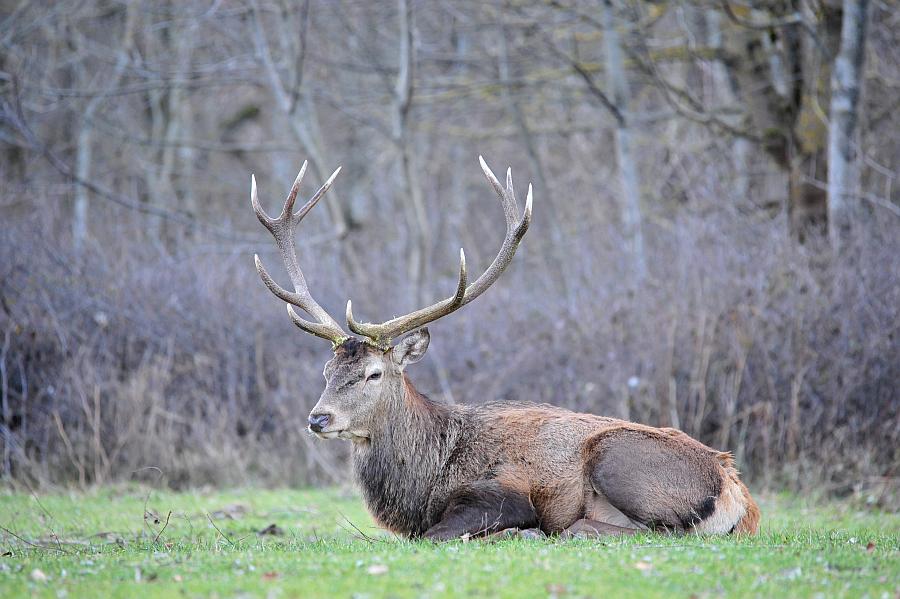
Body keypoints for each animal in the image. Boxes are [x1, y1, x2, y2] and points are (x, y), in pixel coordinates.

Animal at [251, 158, 760, 540]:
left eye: (374, 373)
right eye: (326, 371)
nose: (318, 418)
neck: (426, 478)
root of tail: (738, 494)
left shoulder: (503, 491)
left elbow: (436, 535)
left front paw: (516, 531)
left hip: (619, 460)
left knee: (647, 529)